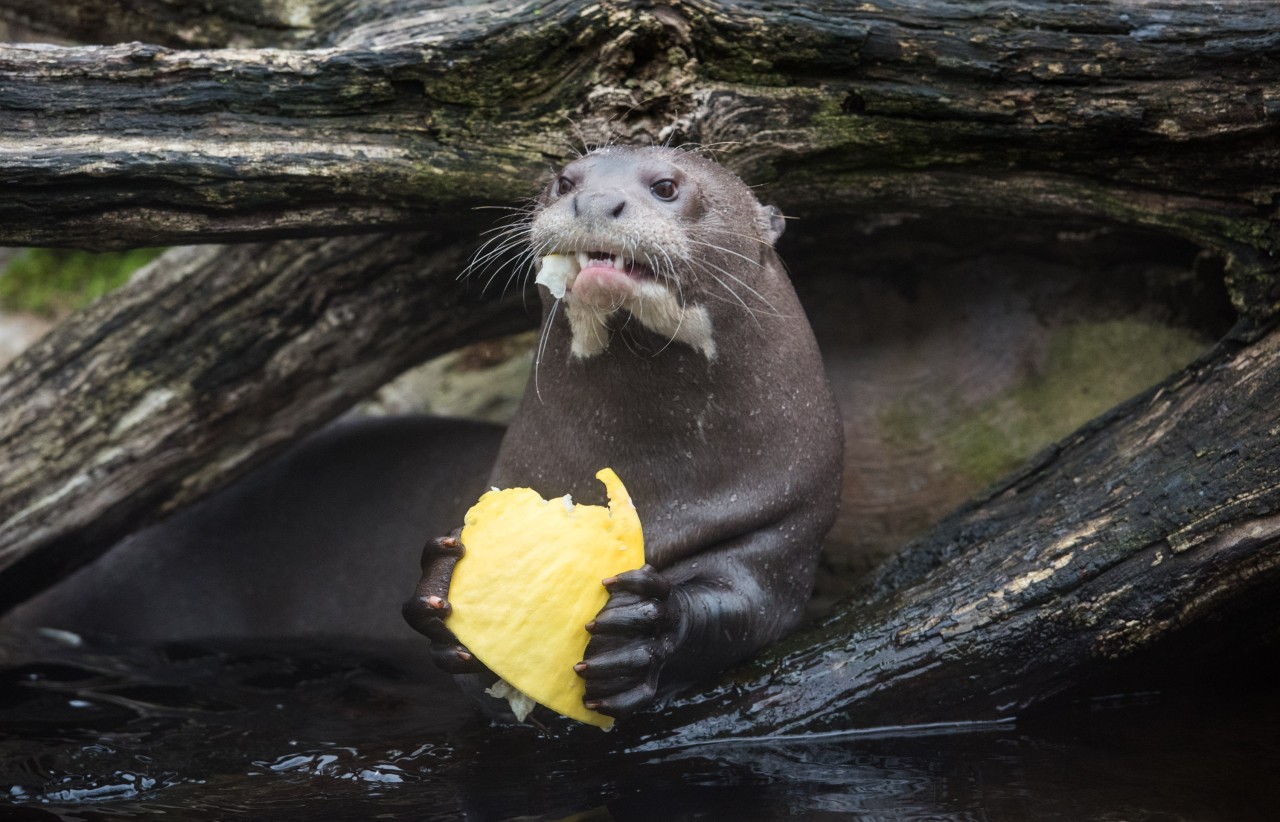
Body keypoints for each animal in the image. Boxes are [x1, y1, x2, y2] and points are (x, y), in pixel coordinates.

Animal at [404, 147, 844, 717]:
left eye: (665, 187)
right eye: (563, 181)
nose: (592, 200)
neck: (661, 484)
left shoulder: (787, 524)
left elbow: (743, 609)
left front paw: (640, 632)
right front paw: (439, 590)